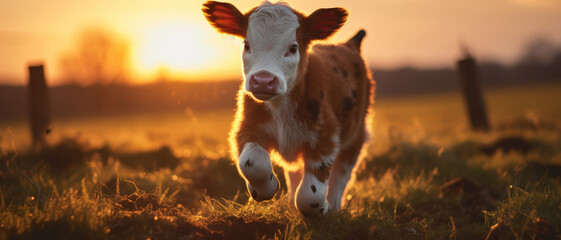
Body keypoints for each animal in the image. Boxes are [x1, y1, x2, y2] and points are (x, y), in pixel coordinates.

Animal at [203, 0, 374, 218]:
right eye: (246, 45)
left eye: (293, 48)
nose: (263, 81)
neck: (281, 108)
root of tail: (349, 44)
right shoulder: (246, 126)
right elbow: (252, 161)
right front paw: (265, 188)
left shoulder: (326, 136)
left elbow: (310, 194)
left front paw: (322, 208)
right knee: (294, 173)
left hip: (356, 134)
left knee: (342, 174)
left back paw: (334, 207)